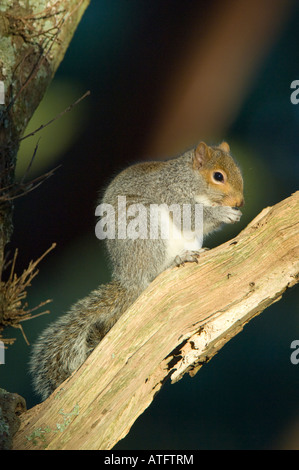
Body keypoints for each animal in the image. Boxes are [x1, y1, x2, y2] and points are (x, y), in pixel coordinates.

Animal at [29, 140, 245, 400]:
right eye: (218, 176)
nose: (240, 202)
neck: (188, 178)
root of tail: (128, 278)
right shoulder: (172, 193)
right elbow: (190, 217)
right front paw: (224, 213)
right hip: (146, 228)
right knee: (152, 274)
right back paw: (176, 260)